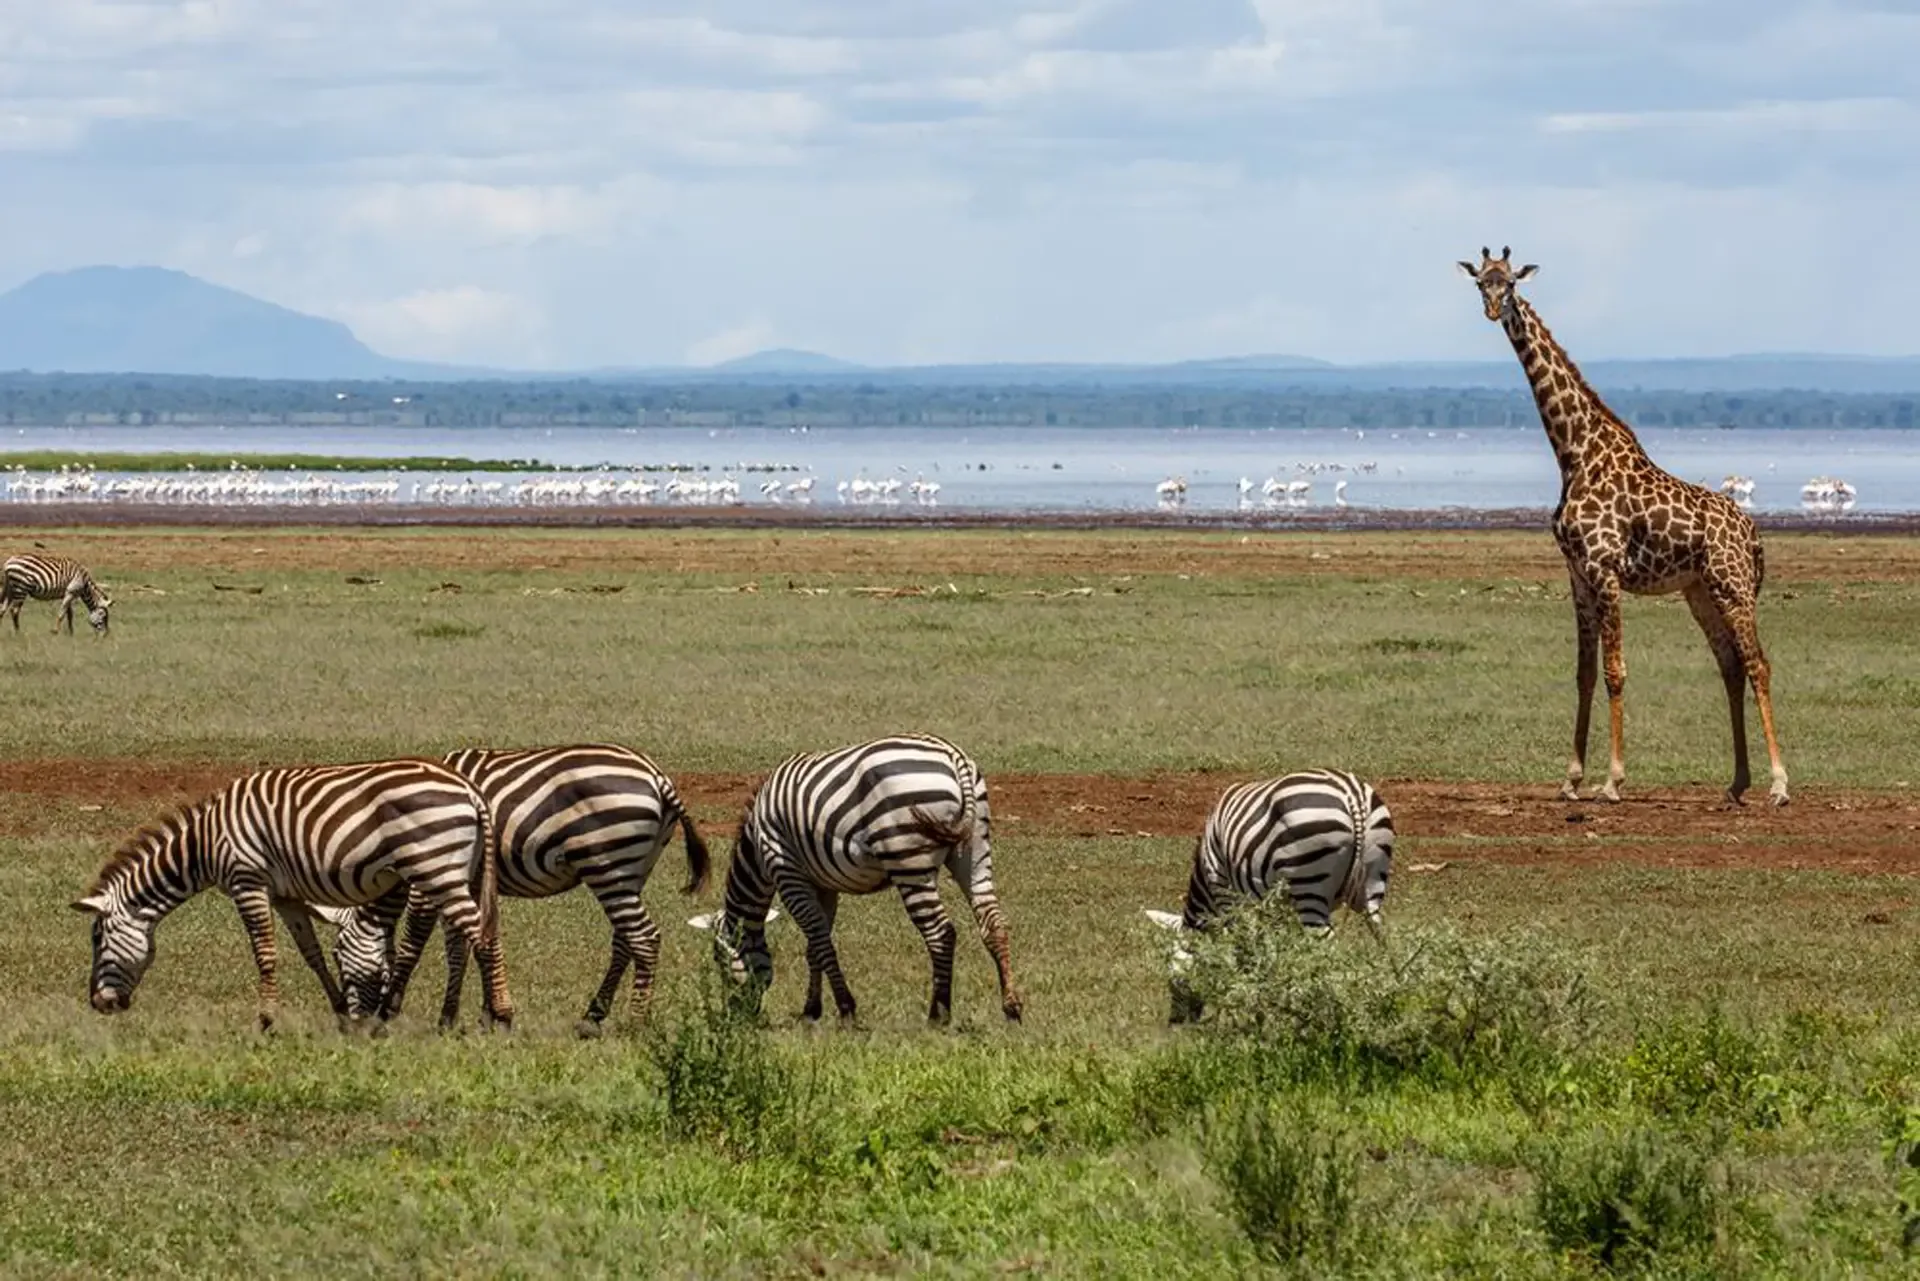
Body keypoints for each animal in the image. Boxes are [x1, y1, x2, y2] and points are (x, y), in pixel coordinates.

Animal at [72, 758, 513, 1032]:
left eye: (97, 938)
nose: (98, 1003)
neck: (205, 843)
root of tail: (470, 789)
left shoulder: (247, 880)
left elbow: (264, 954)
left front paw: (265, 1020)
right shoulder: (285, 895)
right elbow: (310, 952)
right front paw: (341, 1011)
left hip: (436, 868)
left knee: (483, 936)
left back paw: (503, 1016)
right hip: (461, 872)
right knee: (479, 936)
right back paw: (486, 1015)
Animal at [327, 744, 711, 1034]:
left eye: (337, 953)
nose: (350, 1023)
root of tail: (657, 775)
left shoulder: (430, 877)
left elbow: (414, 943)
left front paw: (389, 1012)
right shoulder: (469, 882)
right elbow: (464, 947)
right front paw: (466, 1017)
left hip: (607, 865)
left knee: (643, 937)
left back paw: (636, 1021)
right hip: (633, 870)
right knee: (625, 940)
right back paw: (593, 1017)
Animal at [690, 733, 1023, 1025]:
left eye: (718, 960)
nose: (737, 1016)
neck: (757, 852)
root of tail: (953, 757)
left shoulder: (786, 871)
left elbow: (819, 940)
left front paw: (845, 1008)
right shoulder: (822, 884)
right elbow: (815, 944)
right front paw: (812, 1010)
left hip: (908, 861)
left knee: (941, 933)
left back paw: (938, 1015)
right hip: (974, 851)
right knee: (993, 921)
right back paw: (1011, 1008)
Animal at [1143, 769, 1394, 1024]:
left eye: (1174, 972)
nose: (1176, 1023)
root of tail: (1351, 792)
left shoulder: (1226, 894)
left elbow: (1244, 950)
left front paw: (1252, 1003)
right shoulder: (1276, 909)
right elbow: (1278, 948)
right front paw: (1284, 993)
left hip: (1307, 883)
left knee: (1327, 943)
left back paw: (1331, 1006)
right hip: (1370, 884)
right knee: (1382, 936)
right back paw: (1391, 994)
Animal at [1457, 246, 1789, 807]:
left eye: (1512, 283)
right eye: (1482, 281)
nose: (1493, 309)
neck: (1573, 452)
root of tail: (1752, 532)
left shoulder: (1606, 569)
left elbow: (1616, 671)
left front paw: (1612, 780)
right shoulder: (1577, 574)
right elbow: (1584, 673)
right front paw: (1571, 778)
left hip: (1733, 585)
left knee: (1758, 664)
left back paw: (1780, 784)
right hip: (1700, 591)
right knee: (1730, 665)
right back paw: (1737, 782)